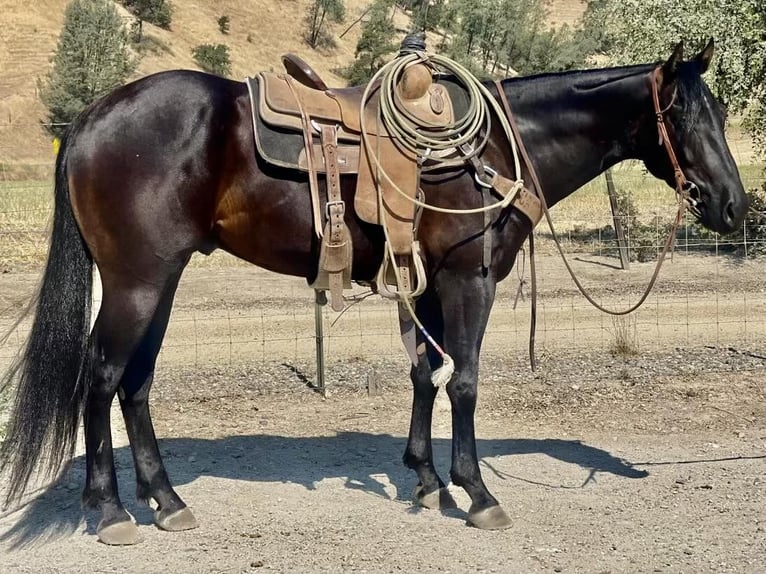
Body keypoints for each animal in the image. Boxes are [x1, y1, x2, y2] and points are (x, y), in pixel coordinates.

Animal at [0, 41, 747, 545]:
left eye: (720, 110)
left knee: (136, 383)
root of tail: (94, 116)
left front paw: (425, 478)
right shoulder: (468, 279)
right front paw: (476, 492)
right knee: (101, 377)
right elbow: (464, 380)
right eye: (684, 115)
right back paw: (111, 510)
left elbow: (424, 374)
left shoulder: (426, 282)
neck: (495, 150)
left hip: (162, 277)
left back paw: (167, 501)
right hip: (137, 280)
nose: (733, 206)